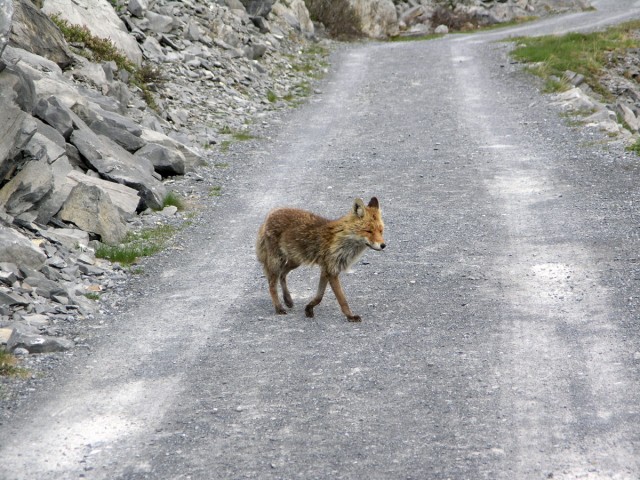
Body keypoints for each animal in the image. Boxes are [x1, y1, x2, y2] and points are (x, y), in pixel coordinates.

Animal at [255, 195, 384, 322]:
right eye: (368, 231)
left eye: (381, 231)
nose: (383, 245)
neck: (342, 240)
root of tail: (271, 213)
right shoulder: (331, 271)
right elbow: (342, 300)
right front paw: (350, 316)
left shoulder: (326, 269)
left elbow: (319, 296)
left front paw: (309, 308)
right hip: (277, 260)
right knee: (272, 285)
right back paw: (279, 307)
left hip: (295, 260)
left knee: (282, 275)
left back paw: (288, 300)